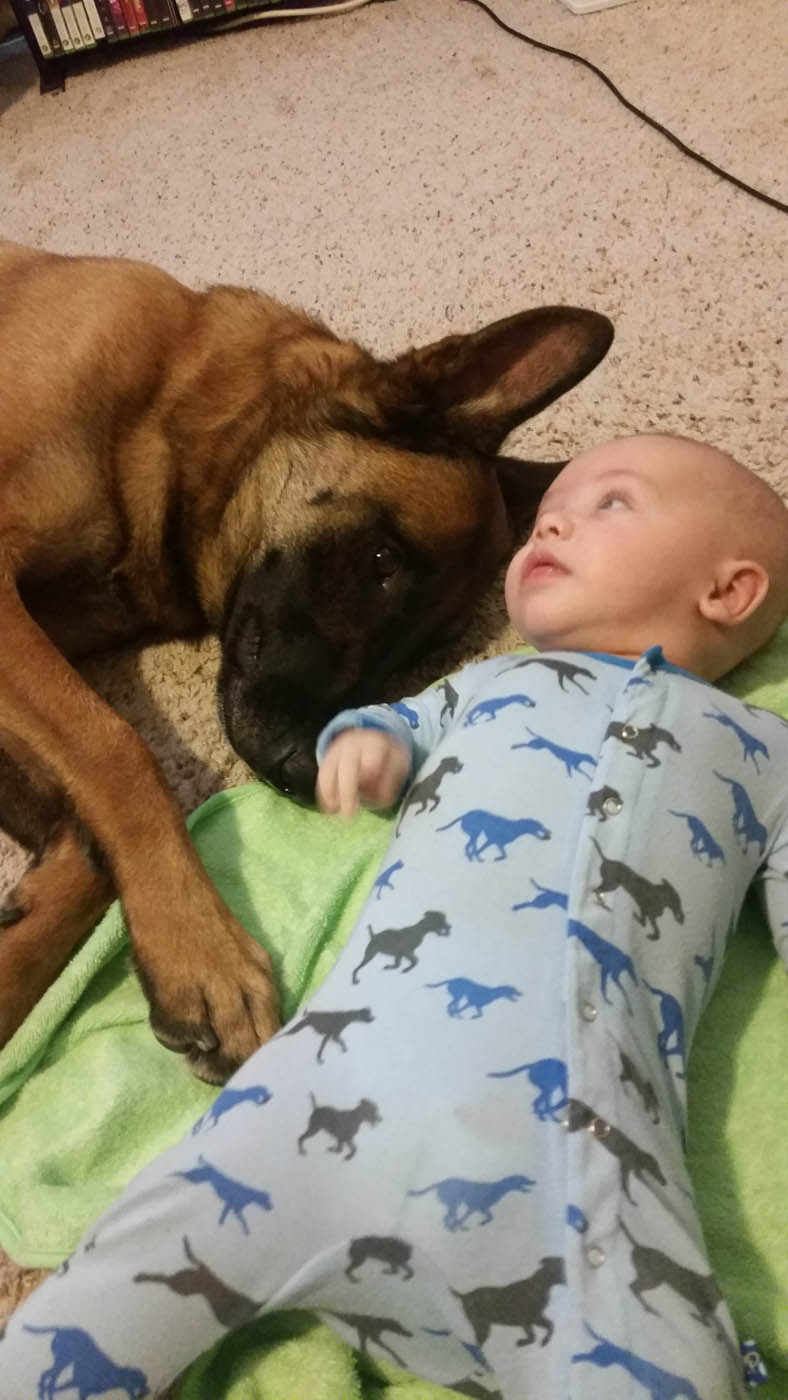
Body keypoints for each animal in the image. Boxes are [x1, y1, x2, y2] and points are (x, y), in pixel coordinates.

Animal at [0, 243, 613, 1080]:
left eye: (424, 652)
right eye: (383, 560)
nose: (300, 771)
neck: (165, 410)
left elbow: (86, 833)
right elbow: (117, 750)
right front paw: (204, 950)